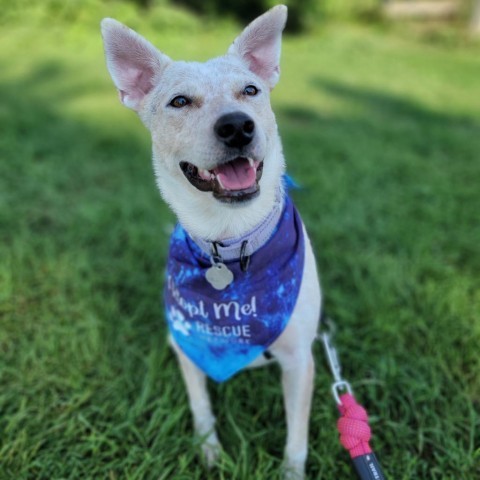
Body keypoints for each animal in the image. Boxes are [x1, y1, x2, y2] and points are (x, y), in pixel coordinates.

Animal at [101, 5, 320, 478]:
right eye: (179, 101)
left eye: (250, 90)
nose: (237, 125)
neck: (231, 240)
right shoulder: (189, 346)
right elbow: (201, 406)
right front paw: (210, 453)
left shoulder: (300, 360)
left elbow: (296, 439)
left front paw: (291, 472)